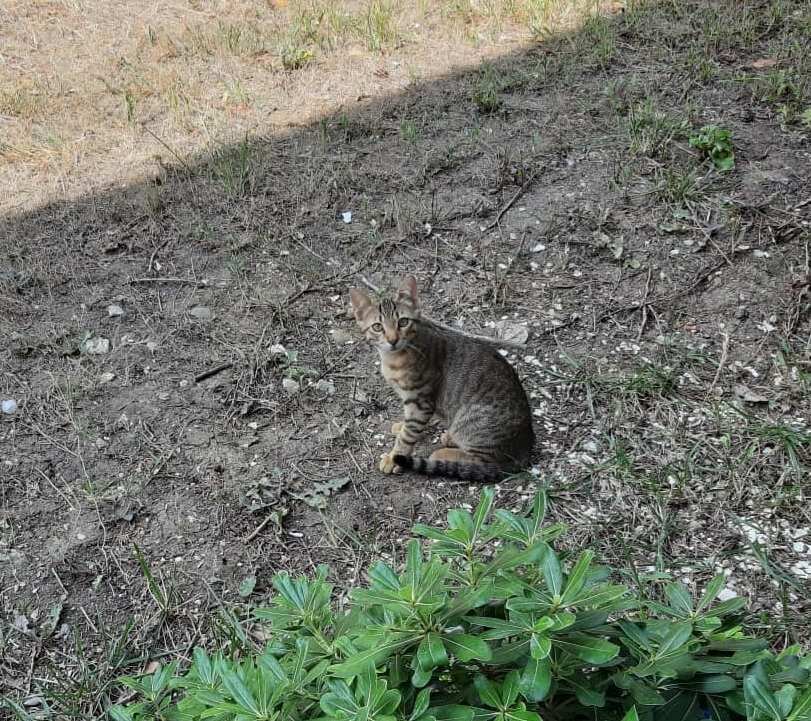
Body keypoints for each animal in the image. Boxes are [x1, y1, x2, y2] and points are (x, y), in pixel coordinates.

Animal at [350, 276, 536, 478]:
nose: (392, 340)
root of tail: (525, 447)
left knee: (483, 461)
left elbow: (409, 434)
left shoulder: (421, 402)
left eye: (403, 322)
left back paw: (443, 453)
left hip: (474, 422)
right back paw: (450, 438)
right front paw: (401, 427)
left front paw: (394, 457)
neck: (394, 359)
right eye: (377, 327)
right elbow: (408, 425)